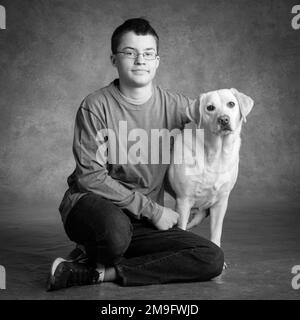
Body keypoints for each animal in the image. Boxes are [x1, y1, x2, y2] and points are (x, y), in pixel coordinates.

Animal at [168, 87, 254, 248]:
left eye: (231, 104)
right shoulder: (183, 201)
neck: (215, 154)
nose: (224, 119)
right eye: (210, 108)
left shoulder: (220, 203)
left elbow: (216, 234)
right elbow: (181, 229)